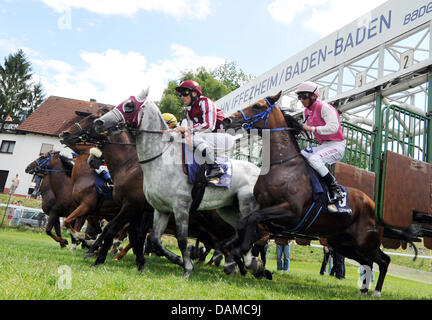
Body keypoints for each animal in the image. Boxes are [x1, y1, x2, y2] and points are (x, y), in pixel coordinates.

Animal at [221, 91, 394, 296]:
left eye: (258, 106)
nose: (227, 119)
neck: (282, 165)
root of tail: (374, 205)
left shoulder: (290, 212)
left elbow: (253, 220)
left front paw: (245, 257)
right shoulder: (267, 214)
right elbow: (246, 223)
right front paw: (240, 254)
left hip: (366, 241)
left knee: (383, 260)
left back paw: (376, 291)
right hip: (342, 243)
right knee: (368, 262)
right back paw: (364, 289)